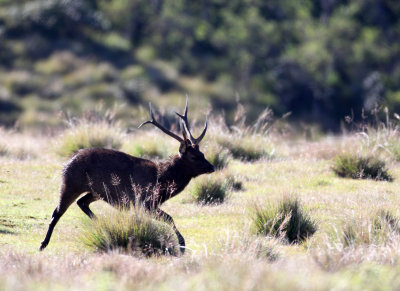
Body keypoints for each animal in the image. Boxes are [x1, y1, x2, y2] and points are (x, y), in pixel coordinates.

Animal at [39, 98, 216, 253]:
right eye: (194, 156)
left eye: (202, 153)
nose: (212, 167)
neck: (162, 180)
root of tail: (67, 162)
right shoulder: (144, 201)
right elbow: (169, 219)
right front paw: (182, 246)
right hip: (70, 183)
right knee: (57, 212)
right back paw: (43, 244)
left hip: (96, 191)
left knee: (81, 202)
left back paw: (100, 225)